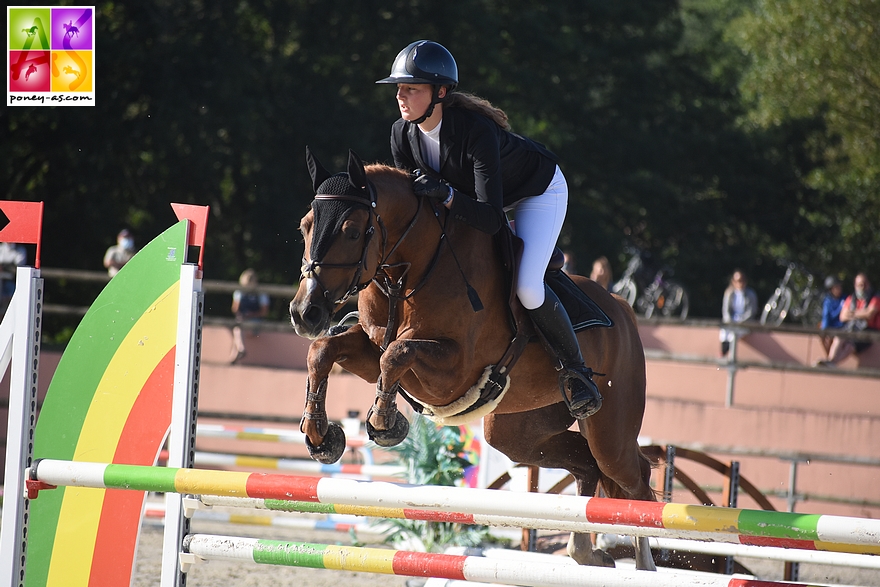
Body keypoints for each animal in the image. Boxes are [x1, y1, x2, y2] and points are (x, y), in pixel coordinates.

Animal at [292, 149, 656, 572]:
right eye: (304, 228)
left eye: (351, 231)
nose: (305, 313)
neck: (412, 269)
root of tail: (623, 309)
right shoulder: (371, 347)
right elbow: (324, 351)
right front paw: (320, 434)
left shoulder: (451, 374)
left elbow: (398, 355)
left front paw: (386, 423)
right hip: (517, 432)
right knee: (587, 464)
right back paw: (587, 552)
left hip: (611, 430)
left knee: (633, 479)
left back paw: (645, 566)